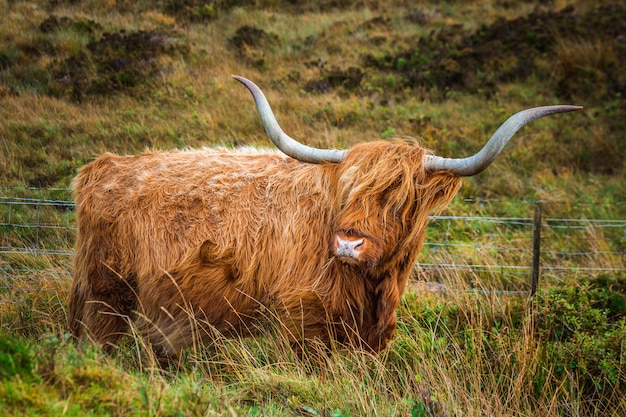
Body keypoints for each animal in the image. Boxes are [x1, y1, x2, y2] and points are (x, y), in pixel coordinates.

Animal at [68, 75, 580, 360]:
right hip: (107, 294)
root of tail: (106, 165)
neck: (373, 288)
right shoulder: (304, 323)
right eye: (347, 190)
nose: (348, 243)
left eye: (400, 200)